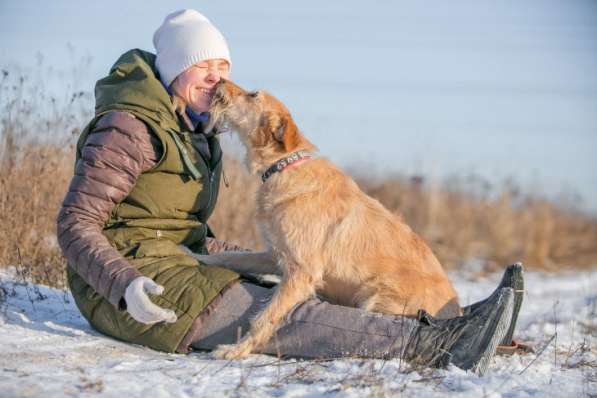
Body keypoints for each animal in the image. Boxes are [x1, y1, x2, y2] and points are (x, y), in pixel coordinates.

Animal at [203, 79, 458, 360]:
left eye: (252, 95)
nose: (220, 81)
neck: (284, 166)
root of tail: (456, 311)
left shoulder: (300, 272)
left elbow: (265, 317)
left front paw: (237, 350)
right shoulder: (274, 255)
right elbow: (231, 257)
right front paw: (193, 255)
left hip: (375, 297)